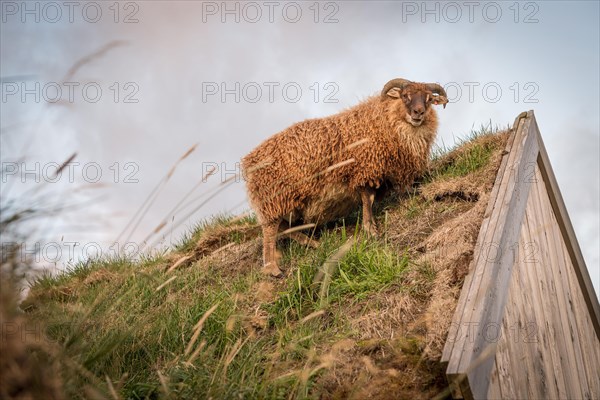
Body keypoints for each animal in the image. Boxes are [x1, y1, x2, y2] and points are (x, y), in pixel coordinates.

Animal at [241, 78, 448, 278]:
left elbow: (370, 198)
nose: (418, 112)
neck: (387, 119)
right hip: (273, 199)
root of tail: (248, 162)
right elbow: (367, 199)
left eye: (429, 98)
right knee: (270, 231)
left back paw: (312, 244)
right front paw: (370, 229)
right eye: (405, 96)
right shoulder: (364, 169)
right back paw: (273, 268)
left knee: (285, 227)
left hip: (286, 201)